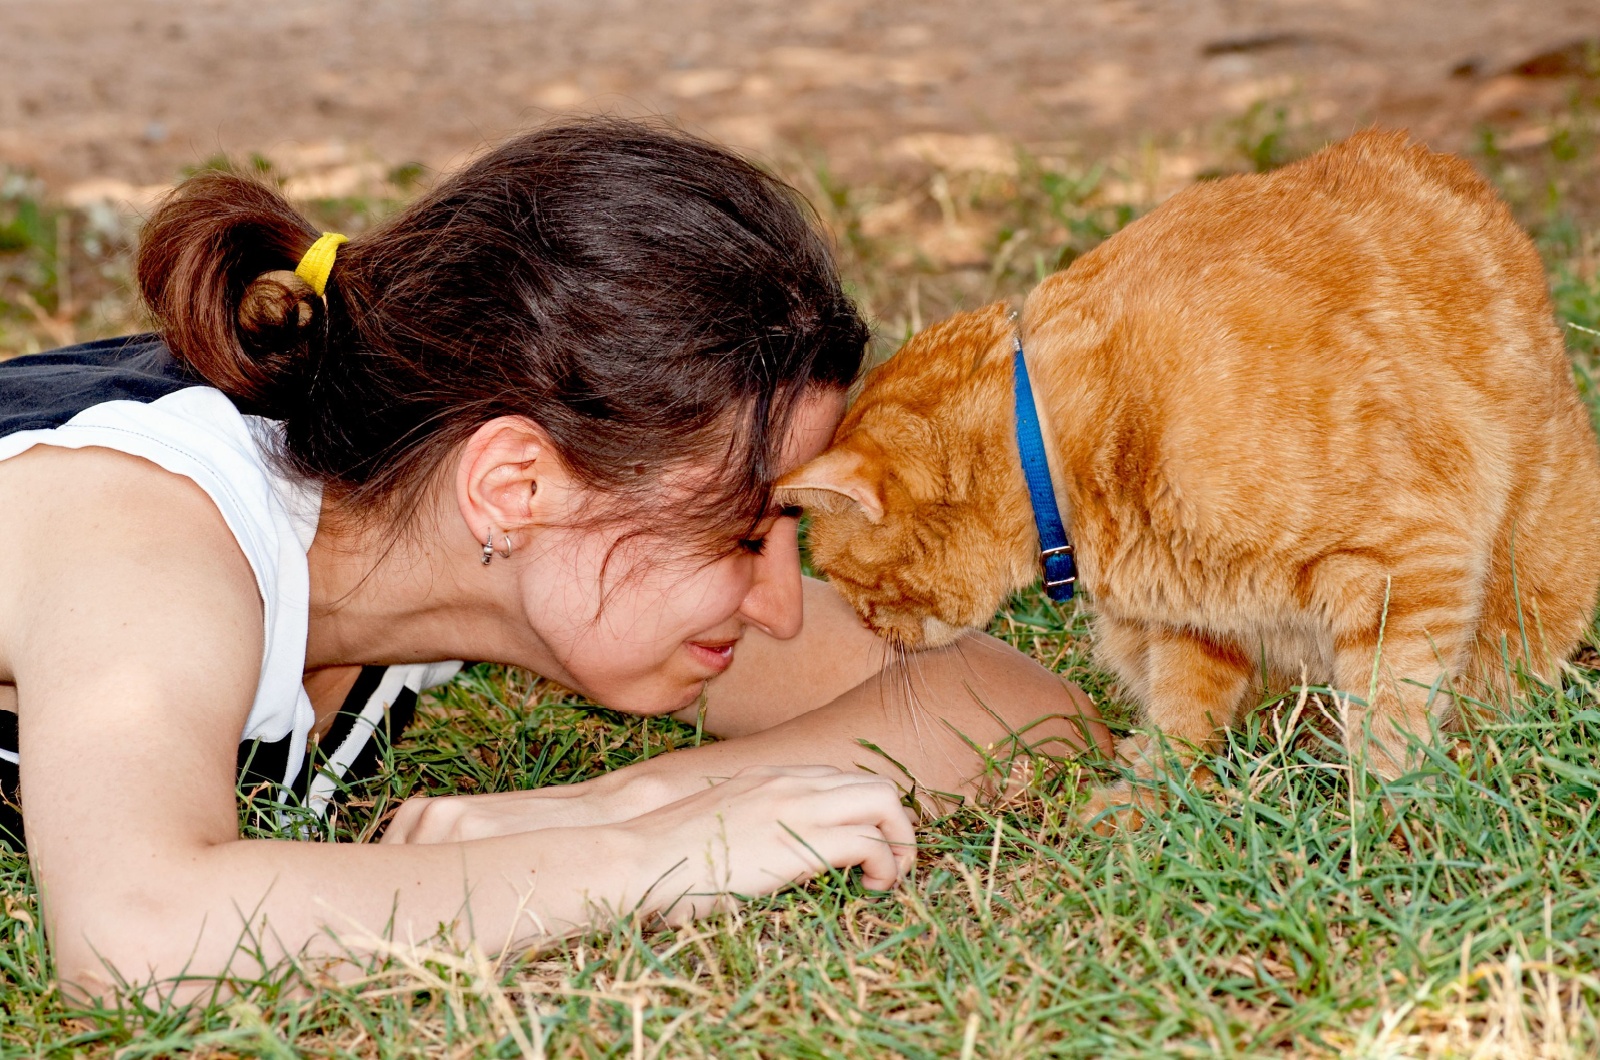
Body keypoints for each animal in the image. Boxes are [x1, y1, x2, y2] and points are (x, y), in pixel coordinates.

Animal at [780, 132, 1600, 826]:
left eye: (848, 586)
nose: (870, 634)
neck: (1065, 443)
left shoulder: (1409, 563)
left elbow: (1391, 712)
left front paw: (1388, 812)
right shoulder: (1196, 617)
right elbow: (1185, 715)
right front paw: (1155, 797)